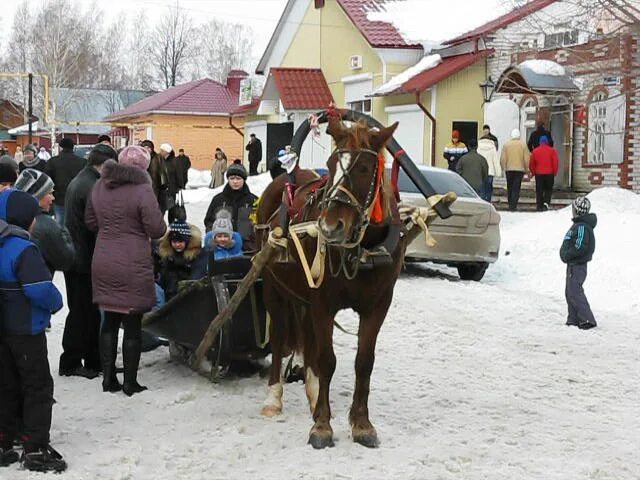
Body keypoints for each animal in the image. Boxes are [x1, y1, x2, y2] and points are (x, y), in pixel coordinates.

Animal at [255, 116, 404, 450]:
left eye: (365, 168)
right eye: (331, 164)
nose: (330, 226)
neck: (362, 249)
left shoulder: (378, 305)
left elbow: (364, 361)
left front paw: (361, 423)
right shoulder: (323, 302)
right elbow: (327, 360)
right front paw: (322, 425)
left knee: (307, 339)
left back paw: (312, 394)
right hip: (273, 288)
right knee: (280, 335)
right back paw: (274, 397)